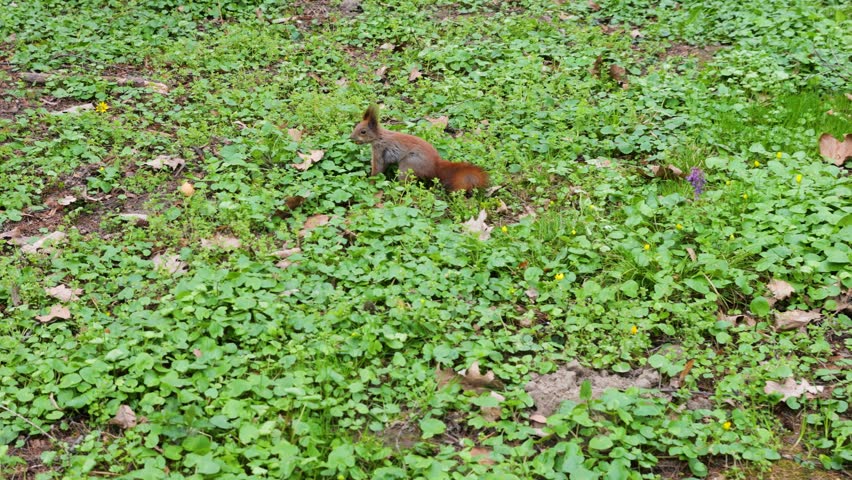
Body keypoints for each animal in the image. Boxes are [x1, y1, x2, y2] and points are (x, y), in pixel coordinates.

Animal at [349, 105, 489, 192]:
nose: (351, 137)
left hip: (408, 165)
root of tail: (435, 165)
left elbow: (378, 167)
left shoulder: (380, 150)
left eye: (363, 131)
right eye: (356, 126)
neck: (379, 137)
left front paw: (370, 182)